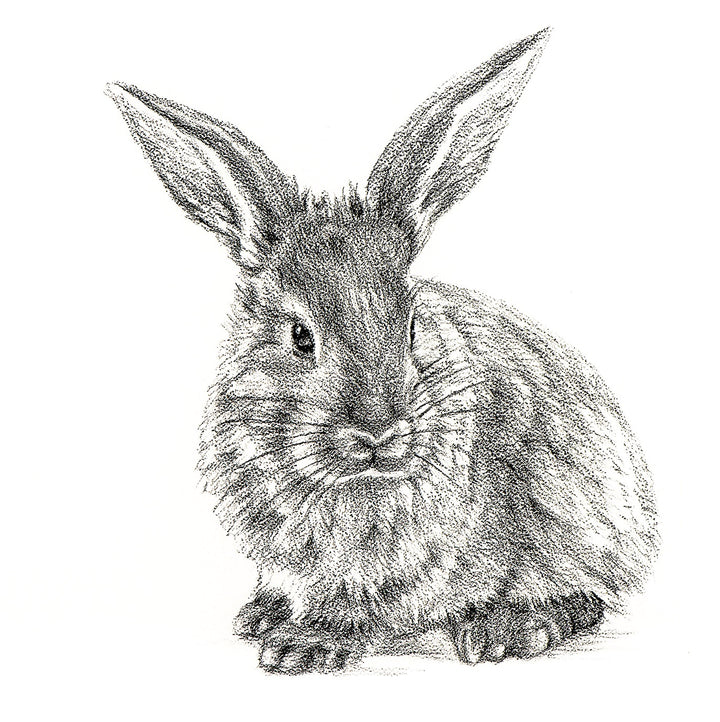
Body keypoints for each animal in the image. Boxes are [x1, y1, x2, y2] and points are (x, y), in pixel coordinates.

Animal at [106, 27, 658, 674]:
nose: (378, 431)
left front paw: (303, 646)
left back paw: (508, 630)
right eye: (300, 337)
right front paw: (268, 621)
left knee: (585, 595)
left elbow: (365, 605)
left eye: (413, 325)